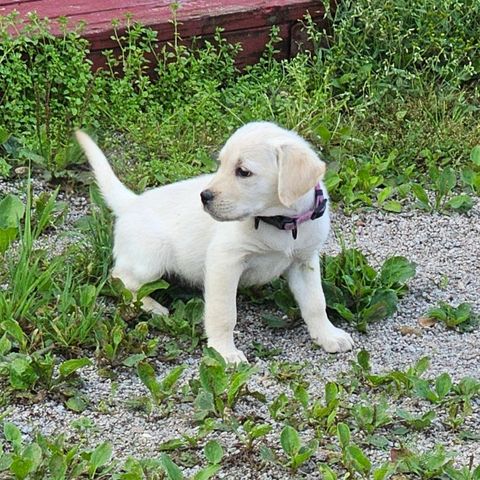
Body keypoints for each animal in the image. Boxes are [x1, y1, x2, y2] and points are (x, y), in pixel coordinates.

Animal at [76, 122, 352, 362]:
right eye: (220, 165)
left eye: (243, 171)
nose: (204, 196)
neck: (279, 222)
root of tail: (131, 203)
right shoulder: (225, 262)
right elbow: (224, 313)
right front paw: (224, 352)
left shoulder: (304, 261)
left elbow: (316, 302)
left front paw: (329, 335)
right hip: (150, 260)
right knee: (120, 279)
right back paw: (152, 306)